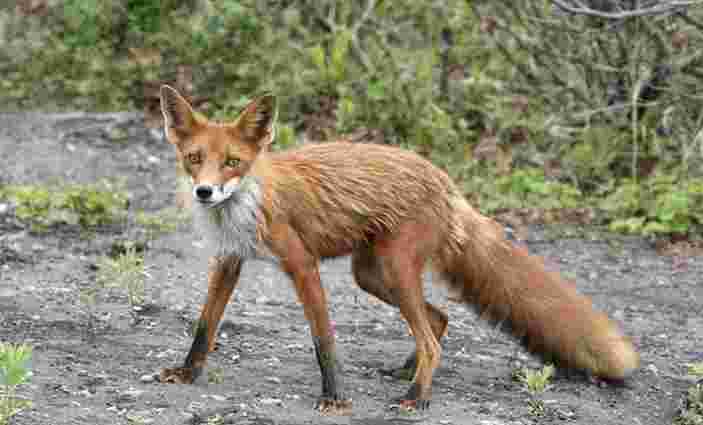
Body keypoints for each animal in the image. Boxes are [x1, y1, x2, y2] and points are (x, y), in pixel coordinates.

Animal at [158, 85, 640, 414]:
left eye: (233, 162)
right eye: (194, 158)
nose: (204, 192)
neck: (245, 205)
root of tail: (443, 180)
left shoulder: (302, 264)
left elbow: (323, 340)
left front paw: (335, 397)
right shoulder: (228, 260)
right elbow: (204, 327)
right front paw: (187, 373)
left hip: (394, 269)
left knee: (431, 338)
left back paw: (416, 397)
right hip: (371, 275)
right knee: (439, 319)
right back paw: (409, 373)